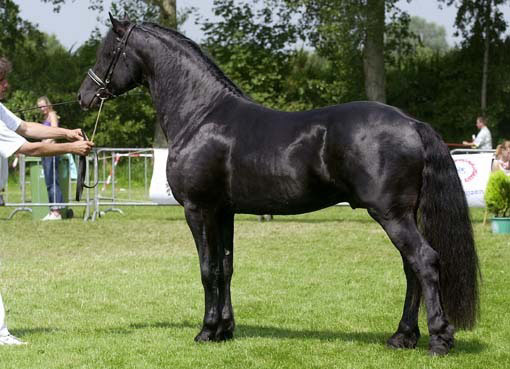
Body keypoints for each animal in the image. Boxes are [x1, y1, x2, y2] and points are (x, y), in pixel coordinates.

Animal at [77, 16, 480, 354]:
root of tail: (411, 123)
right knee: (411, 268)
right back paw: (402, 337)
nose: (84, 96)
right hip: (402, 215)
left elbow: (207, 269)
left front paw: (206, 331)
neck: (201, 115)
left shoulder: (198, 209)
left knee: (424, 261)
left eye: (109, 52)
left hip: (392, 215)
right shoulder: (224, 212)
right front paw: (225, 330)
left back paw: (438, 340)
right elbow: (225, 267)